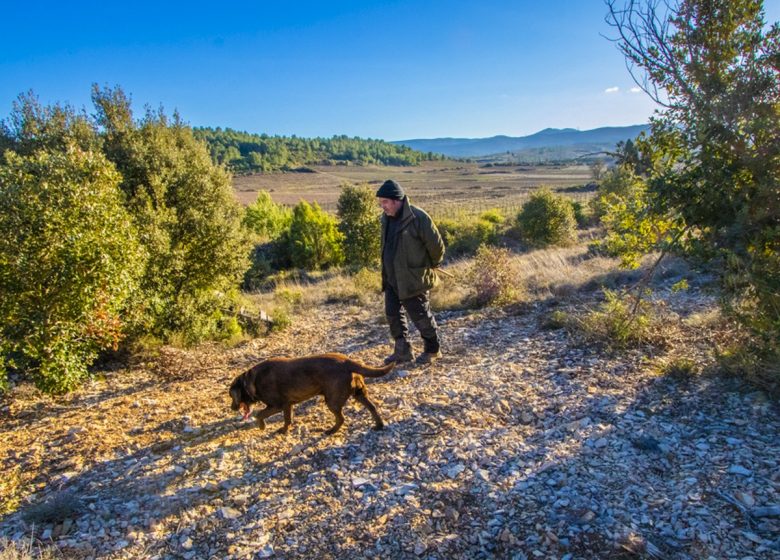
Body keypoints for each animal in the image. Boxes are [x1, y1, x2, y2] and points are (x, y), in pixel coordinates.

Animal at [229, 352, 394, 436]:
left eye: (231, 396)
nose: (232, 408)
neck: (250, 380)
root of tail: (346, 361)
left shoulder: (276, 405)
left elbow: (259, 414)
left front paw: (262, 426)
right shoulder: (287, 405)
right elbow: (288, 419)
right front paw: (284, 430)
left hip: (332, 400)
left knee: (341, 418)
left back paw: (331, 431)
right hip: (359, 393)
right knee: (372, 407)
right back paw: (379, 425)